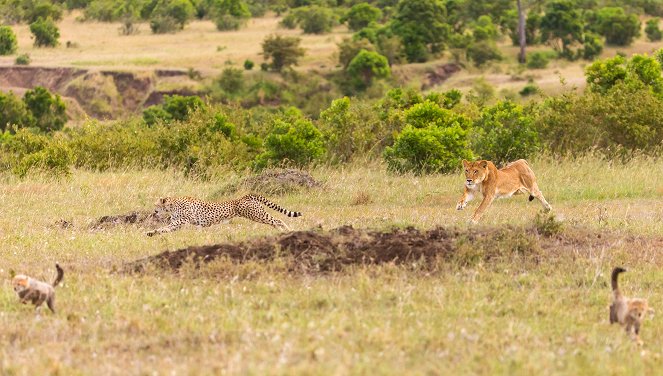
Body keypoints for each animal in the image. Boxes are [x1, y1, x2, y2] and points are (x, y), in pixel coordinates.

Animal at [147, 194, 302, 235]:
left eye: (155, 205)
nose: (154, 211)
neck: (171, 205)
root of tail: (246, 196)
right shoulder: (176, 223)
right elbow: (165, 229)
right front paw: (152, 233)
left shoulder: (184, 220)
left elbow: (167, 227)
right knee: (275, 222)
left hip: (256, 214)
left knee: (277, 220)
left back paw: (288, 230)